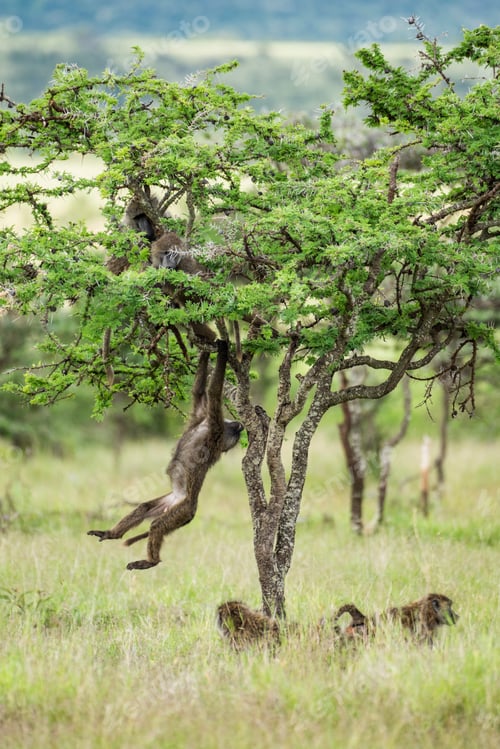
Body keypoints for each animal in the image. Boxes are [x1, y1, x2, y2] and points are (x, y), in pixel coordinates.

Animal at [88, 339, 243, 570]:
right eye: (236, 429)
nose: (240, 425)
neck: (208, 427)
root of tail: (181, 500)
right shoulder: (201, 415)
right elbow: (199, 391)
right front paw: (205, 352)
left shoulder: (213, 425)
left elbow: (214, 391)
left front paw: (222, 349)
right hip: (167, 505)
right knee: (143, 508)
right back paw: (112, 534)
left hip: (181, 511)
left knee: (156, 525)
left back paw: (151, 561)